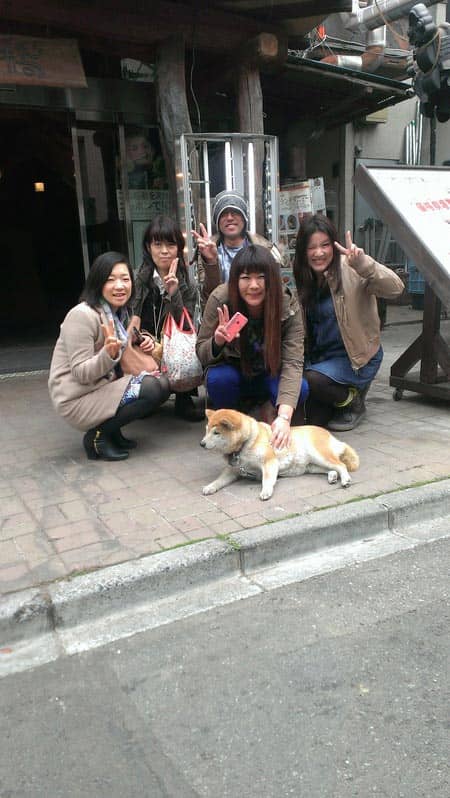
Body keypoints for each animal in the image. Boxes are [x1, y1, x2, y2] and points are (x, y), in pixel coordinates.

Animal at [200, 409, 359, 501]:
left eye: (216, 432)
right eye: (207, 430)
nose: (201, 444)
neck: (246, 443)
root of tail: (329, 434)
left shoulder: (269, 462)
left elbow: (267, 480)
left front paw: (266, 491)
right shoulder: (233, 470)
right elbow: (219, 480)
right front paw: (210, 487)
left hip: (320, 455)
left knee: (341, 465)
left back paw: (345, 479)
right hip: (313, 465)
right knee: (333, 469)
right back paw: (332, 477)